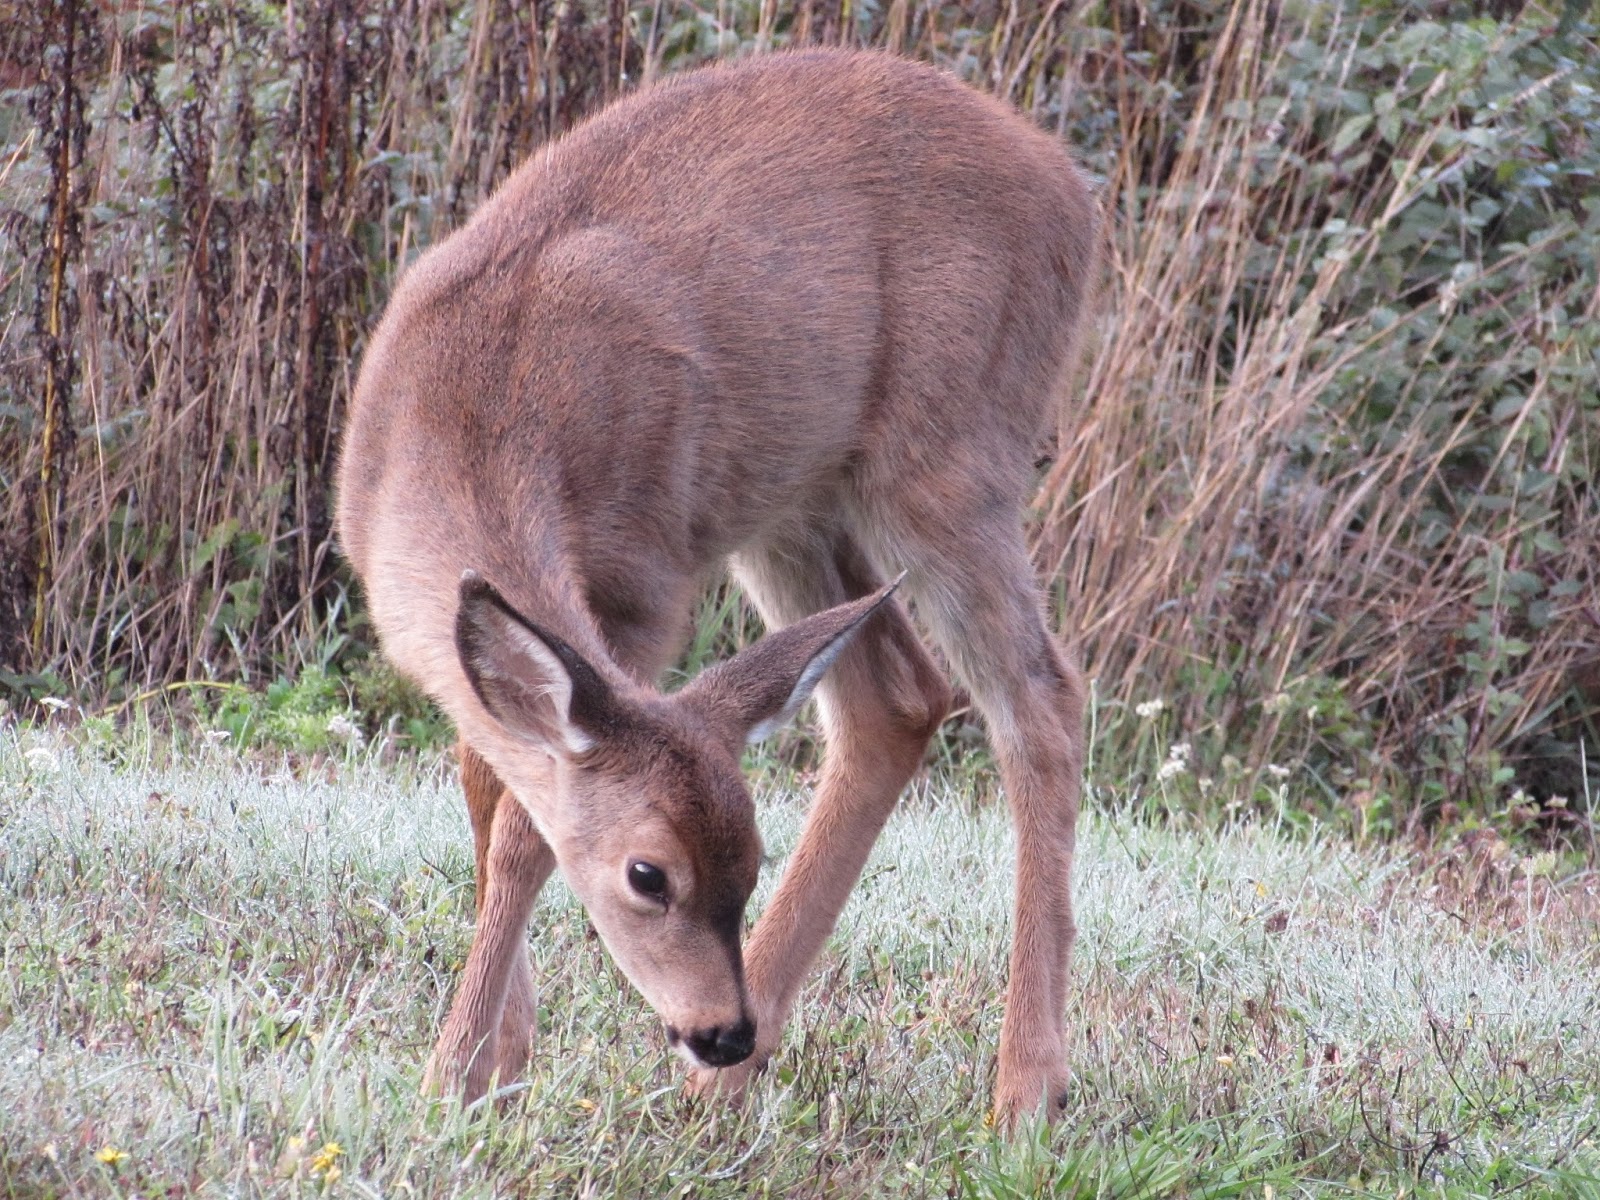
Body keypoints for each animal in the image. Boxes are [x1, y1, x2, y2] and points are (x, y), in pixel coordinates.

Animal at [333, 48, 1099, 1128]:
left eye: (743, 863)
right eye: (651, 876)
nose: (718, 1025)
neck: (465, 418)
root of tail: (1073, 191)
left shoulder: (643, 585)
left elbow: (525, 832)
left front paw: (456, 1074)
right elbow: (491, 791)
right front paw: (501, 1063)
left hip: (948, 459)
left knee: (1039, 696)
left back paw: (1022, 1088)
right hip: (795, 505)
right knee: (896, 698)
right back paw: (736, 1076)